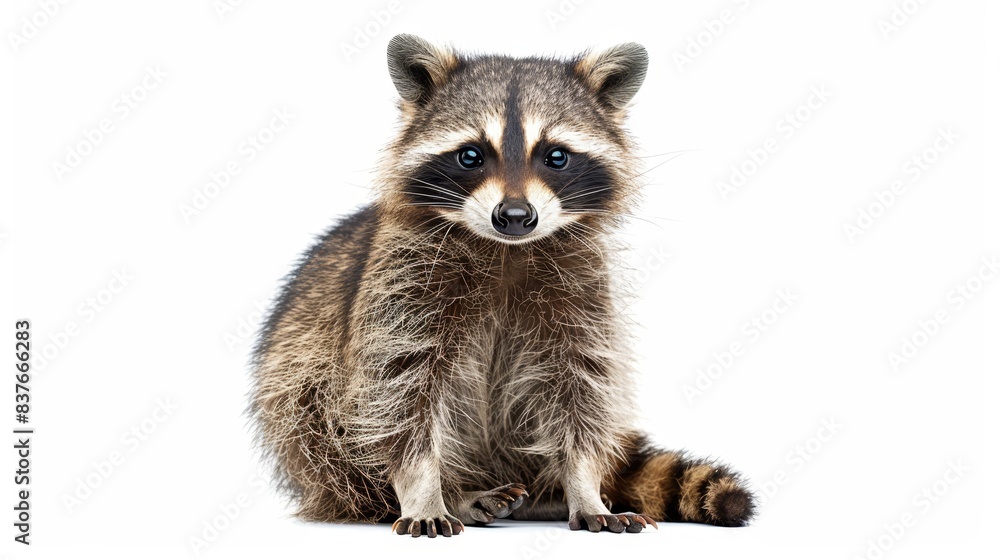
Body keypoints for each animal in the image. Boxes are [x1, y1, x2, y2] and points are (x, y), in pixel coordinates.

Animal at [249, 34, 755, 537]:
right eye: (471, 155)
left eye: (556, 156)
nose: (514, 215)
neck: (507, 249)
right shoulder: (401, 287)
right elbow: (396, 394)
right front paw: (423, 488)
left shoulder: (585, 290)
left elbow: (582, 389)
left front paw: (583, 484)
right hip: (298, 400)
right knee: (327, 432)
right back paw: (458, 492)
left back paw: (546, 496)